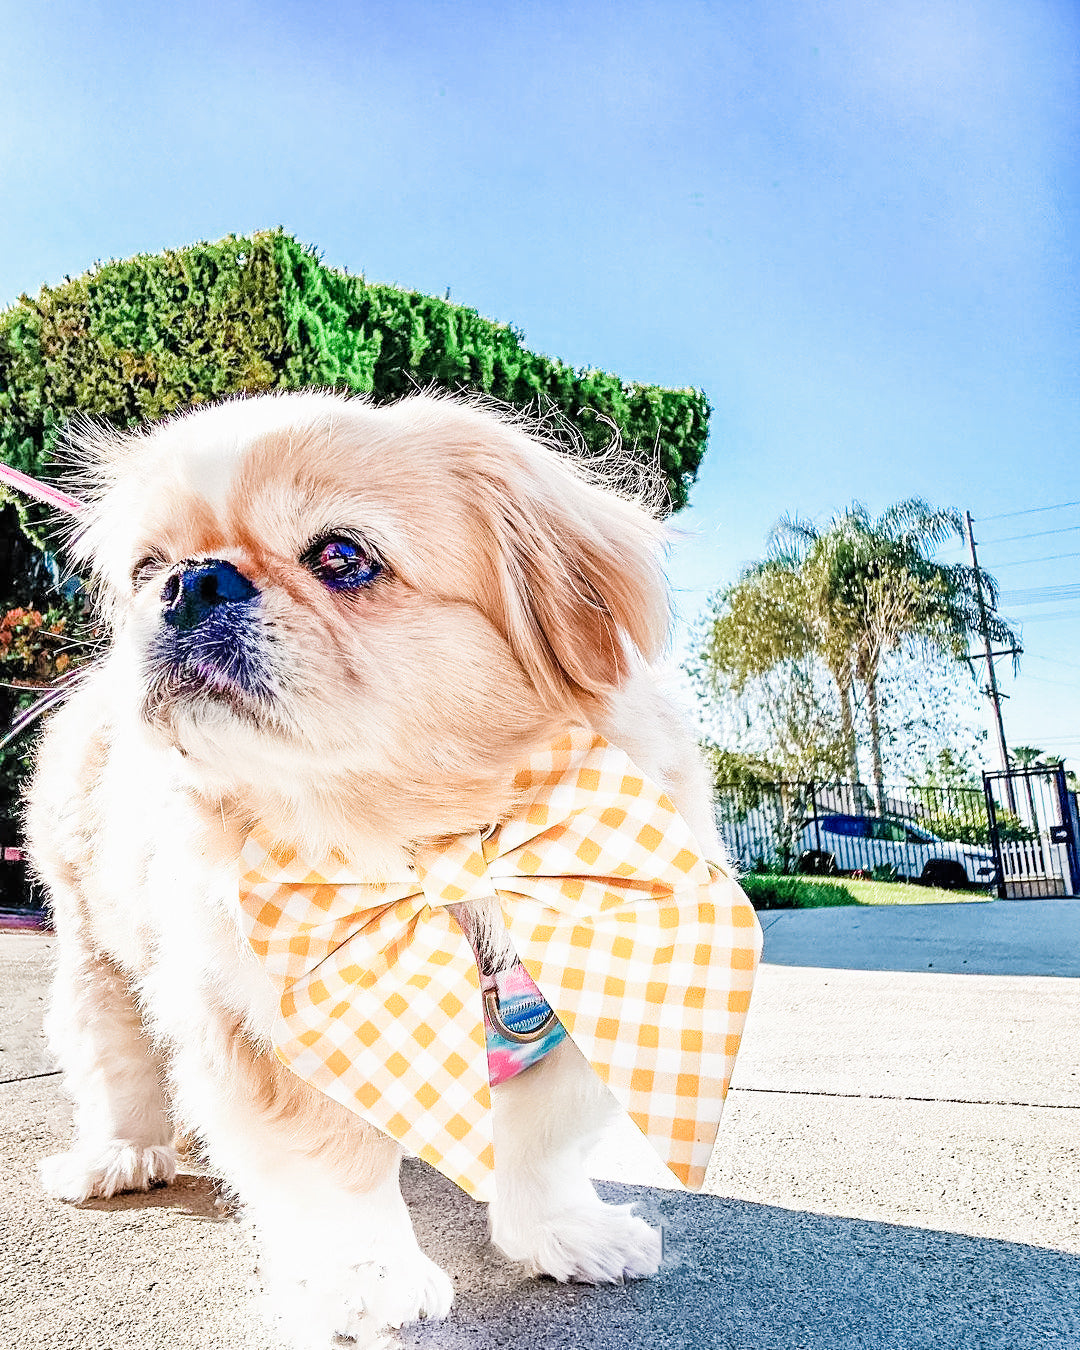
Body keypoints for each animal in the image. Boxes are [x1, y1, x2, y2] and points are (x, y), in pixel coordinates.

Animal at [25, 386, 729, 1344]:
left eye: (342, 556)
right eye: (145, 569)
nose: (190, 580)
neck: (428, 848)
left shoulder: (593, 988)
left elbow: (544, 1145)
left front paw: (566, 1233)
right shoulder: (264, 1035)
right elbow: (336, 1170)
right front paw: (363, 1280)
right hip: (97, 958)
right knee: (116, 1065)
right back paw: (120, 1154)